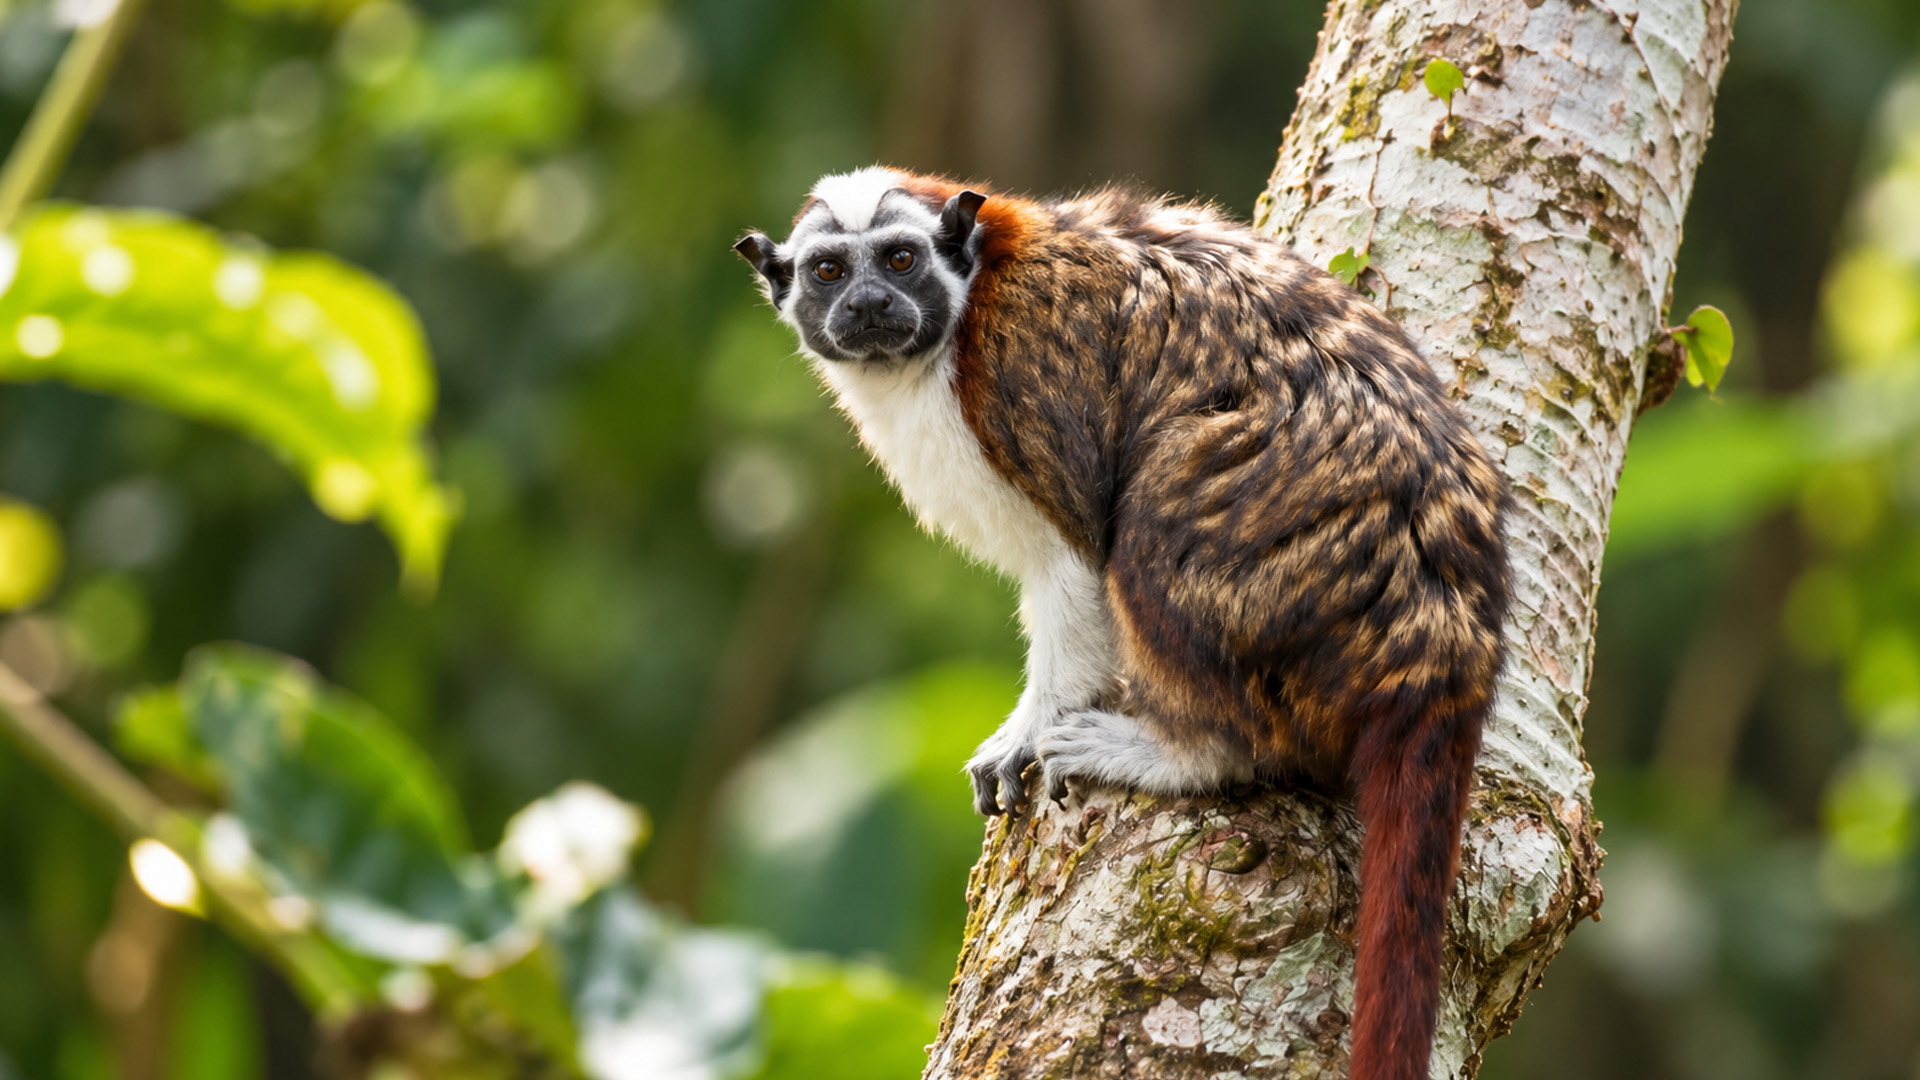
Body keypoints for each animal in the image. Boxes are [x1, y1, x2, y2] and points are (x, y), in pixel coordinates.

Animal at [735, 166, 1510, 1080]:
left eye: (898, 260)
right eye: (828, 273)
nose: (865, 305)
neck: (964, 310)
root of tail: (1442, 651)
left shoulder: (1022, 369)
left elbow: (1077, 547)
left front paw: (1029, 730)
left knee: (1152, 519)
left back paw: (1191, 750)